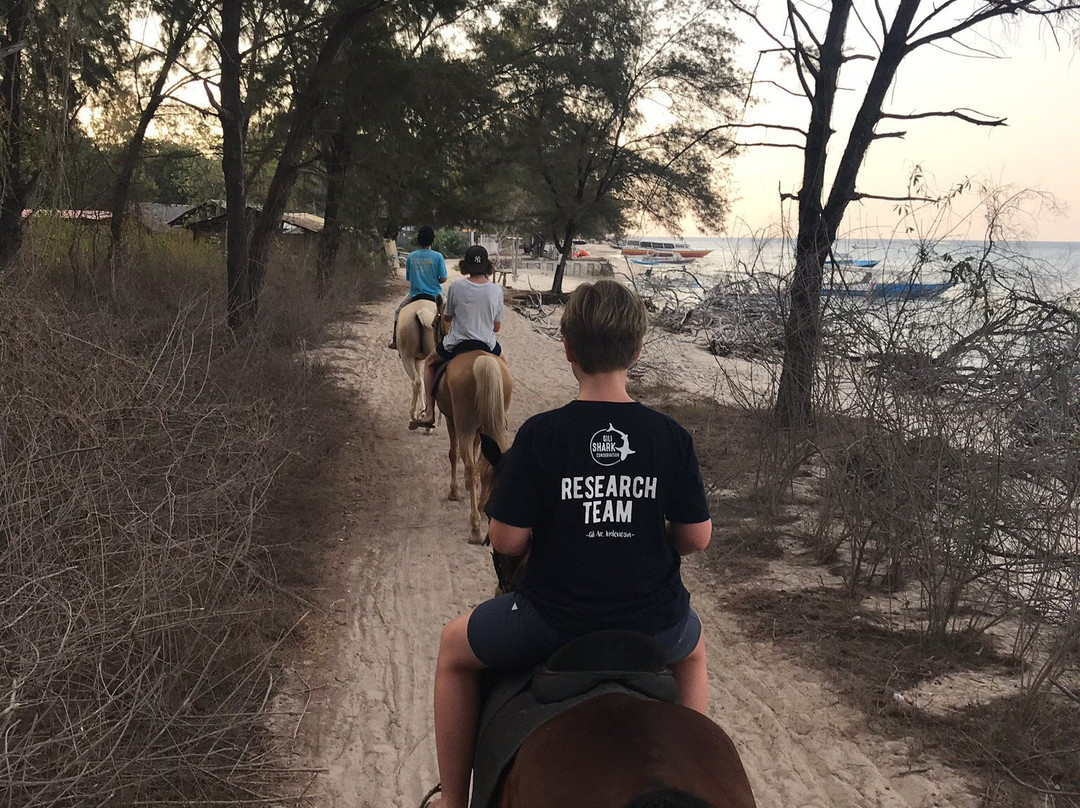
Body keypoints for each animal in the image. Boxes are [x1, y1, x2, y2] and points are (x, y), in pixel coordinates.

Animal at [435, 350, 513, 543]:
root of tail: (483, 360)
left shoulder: (451, 419)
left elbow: (454, 454)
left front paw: (454, 491)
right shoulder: (480, 431)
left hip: (465, 427)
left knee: (470, 465)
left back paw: (475, 527)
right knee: (492, 464)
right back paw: (483, 507)